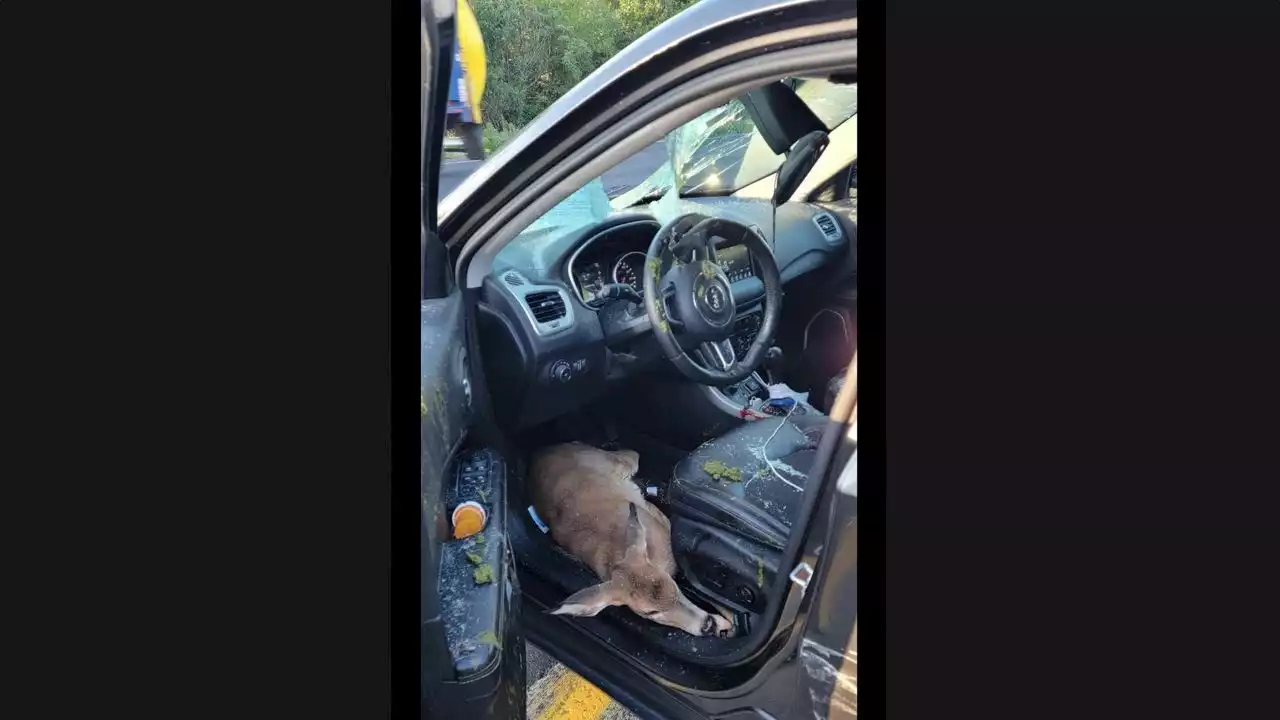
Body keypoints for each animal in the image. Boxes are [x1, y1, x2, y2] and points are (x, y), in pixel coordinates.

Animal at [527, 440, 732, 635]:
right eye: (650, 612)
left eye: (673, 584)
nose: (708, 626)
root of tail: (542, 450)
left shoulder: (668, 530)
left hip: (622, 461)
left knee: (631, 452)